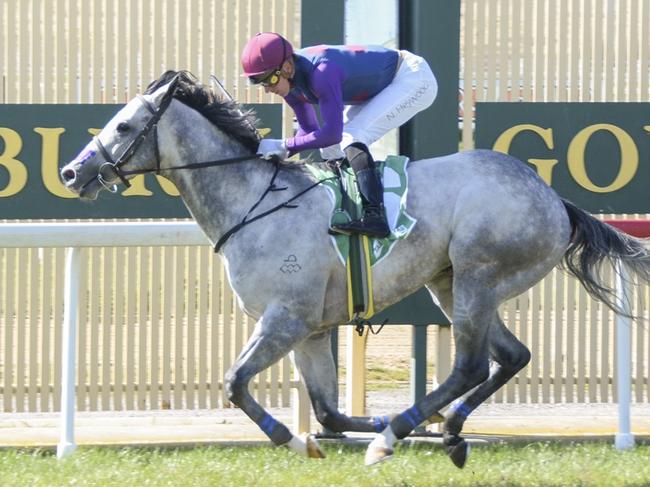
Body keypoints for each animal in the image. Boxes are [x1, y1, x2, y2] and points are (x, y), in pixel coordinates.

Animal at [59, 70, 648, 468]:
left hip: (477, 274)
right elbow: (327, 412)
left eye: (124, 125)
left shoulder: (285, 319)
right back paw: (447, 431)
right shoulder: (310, 331)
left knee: (470, 365)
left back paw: (397, 437)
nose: (70, 172)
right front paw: (341, 432)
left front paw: (296, 439)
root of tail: (553, 199)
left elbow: (234, 383)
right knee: (511, 356)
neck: (254, 201)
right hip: (450, 282)